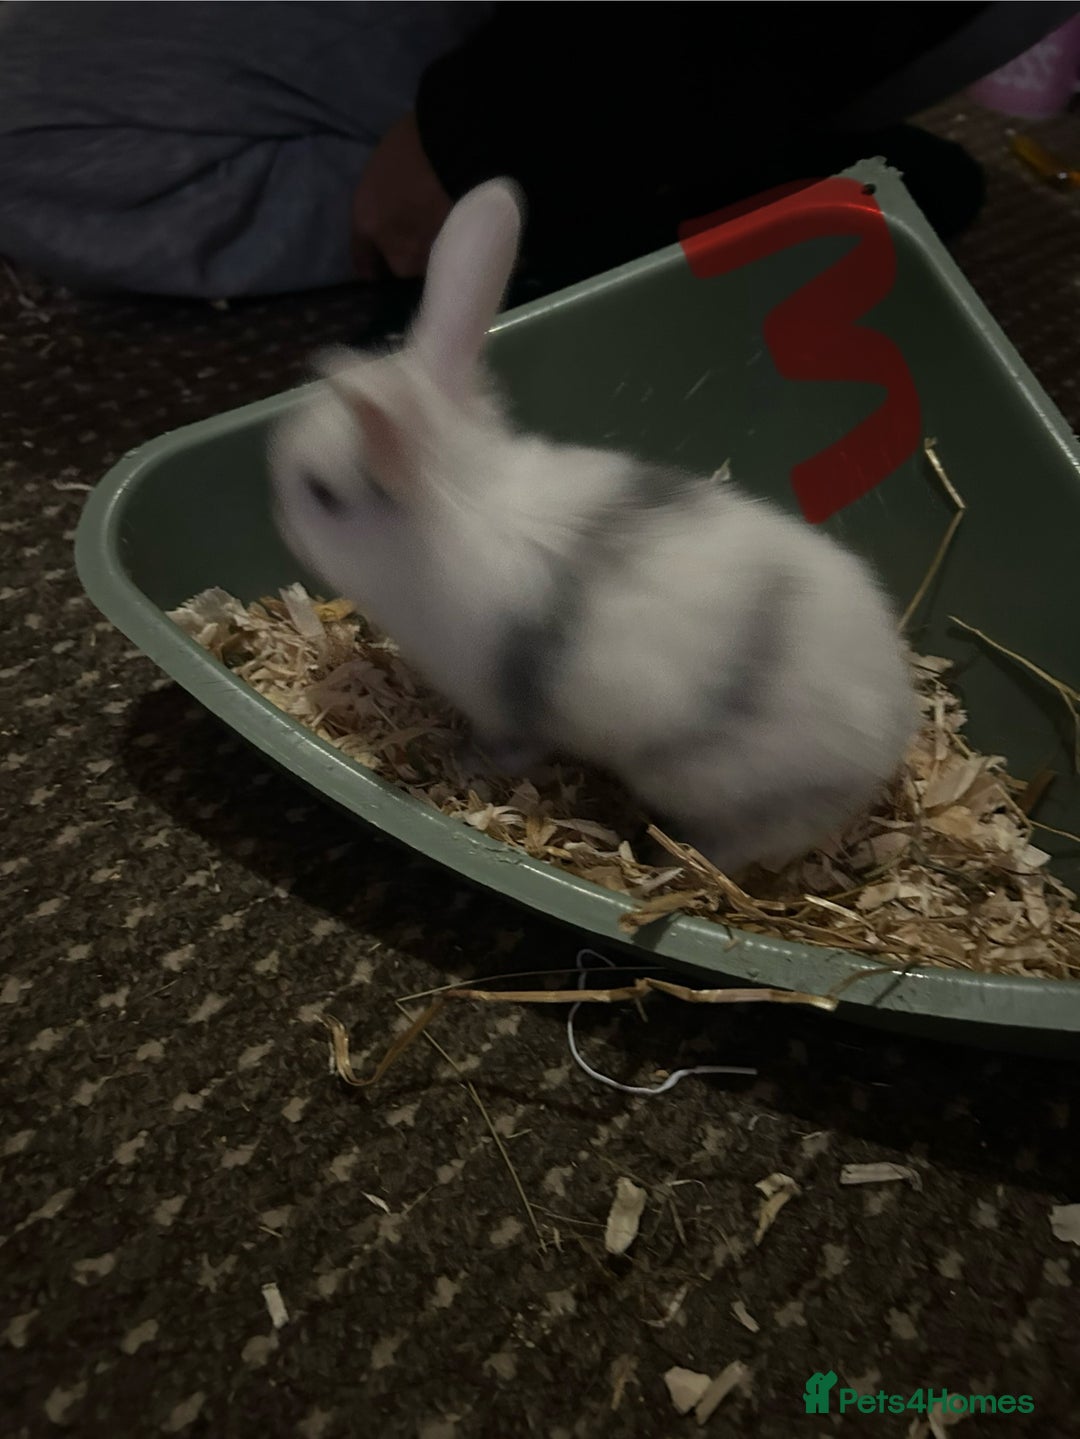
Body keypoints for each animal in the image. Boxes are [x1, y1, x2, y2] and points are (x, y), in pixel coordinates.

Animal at [269, 177, 918, 876]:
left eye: (322, 494)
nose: (279, 514)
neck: (457, 501)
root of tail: (889, 735)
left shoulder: (500, 706)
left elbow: (513, 747)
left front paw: (469, 762)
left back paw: (666, 858)